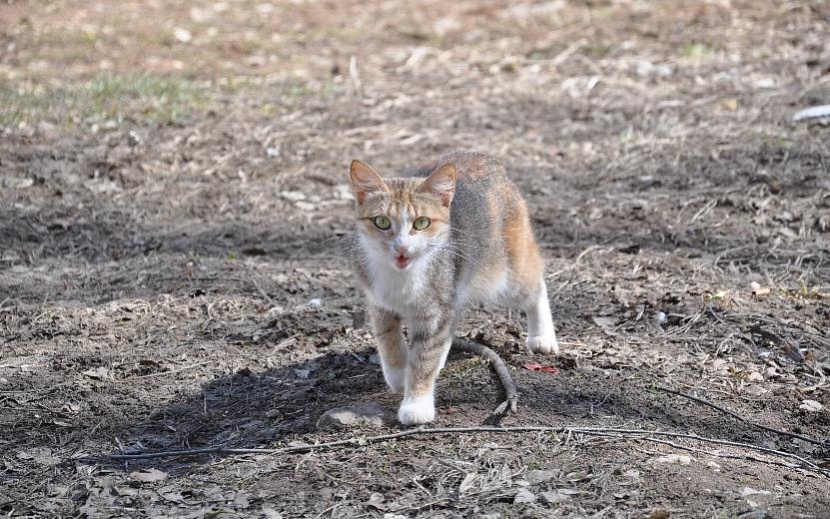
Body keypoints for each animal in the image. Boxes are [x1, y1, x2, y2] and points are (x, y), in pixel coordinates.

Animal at [348, 151, 564, 426]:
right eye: (382, 221)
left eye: (421, 222)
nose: (401, 247)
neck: (404, 274)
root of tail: (486, 158)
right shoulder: (379, 301)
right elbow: (389, 340)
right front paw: (398, 375)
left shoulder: (435, 305)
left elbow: (424, 356)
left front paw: (416, 404)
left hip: (505, 272)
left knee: (535, 286)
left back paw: (542, 337)